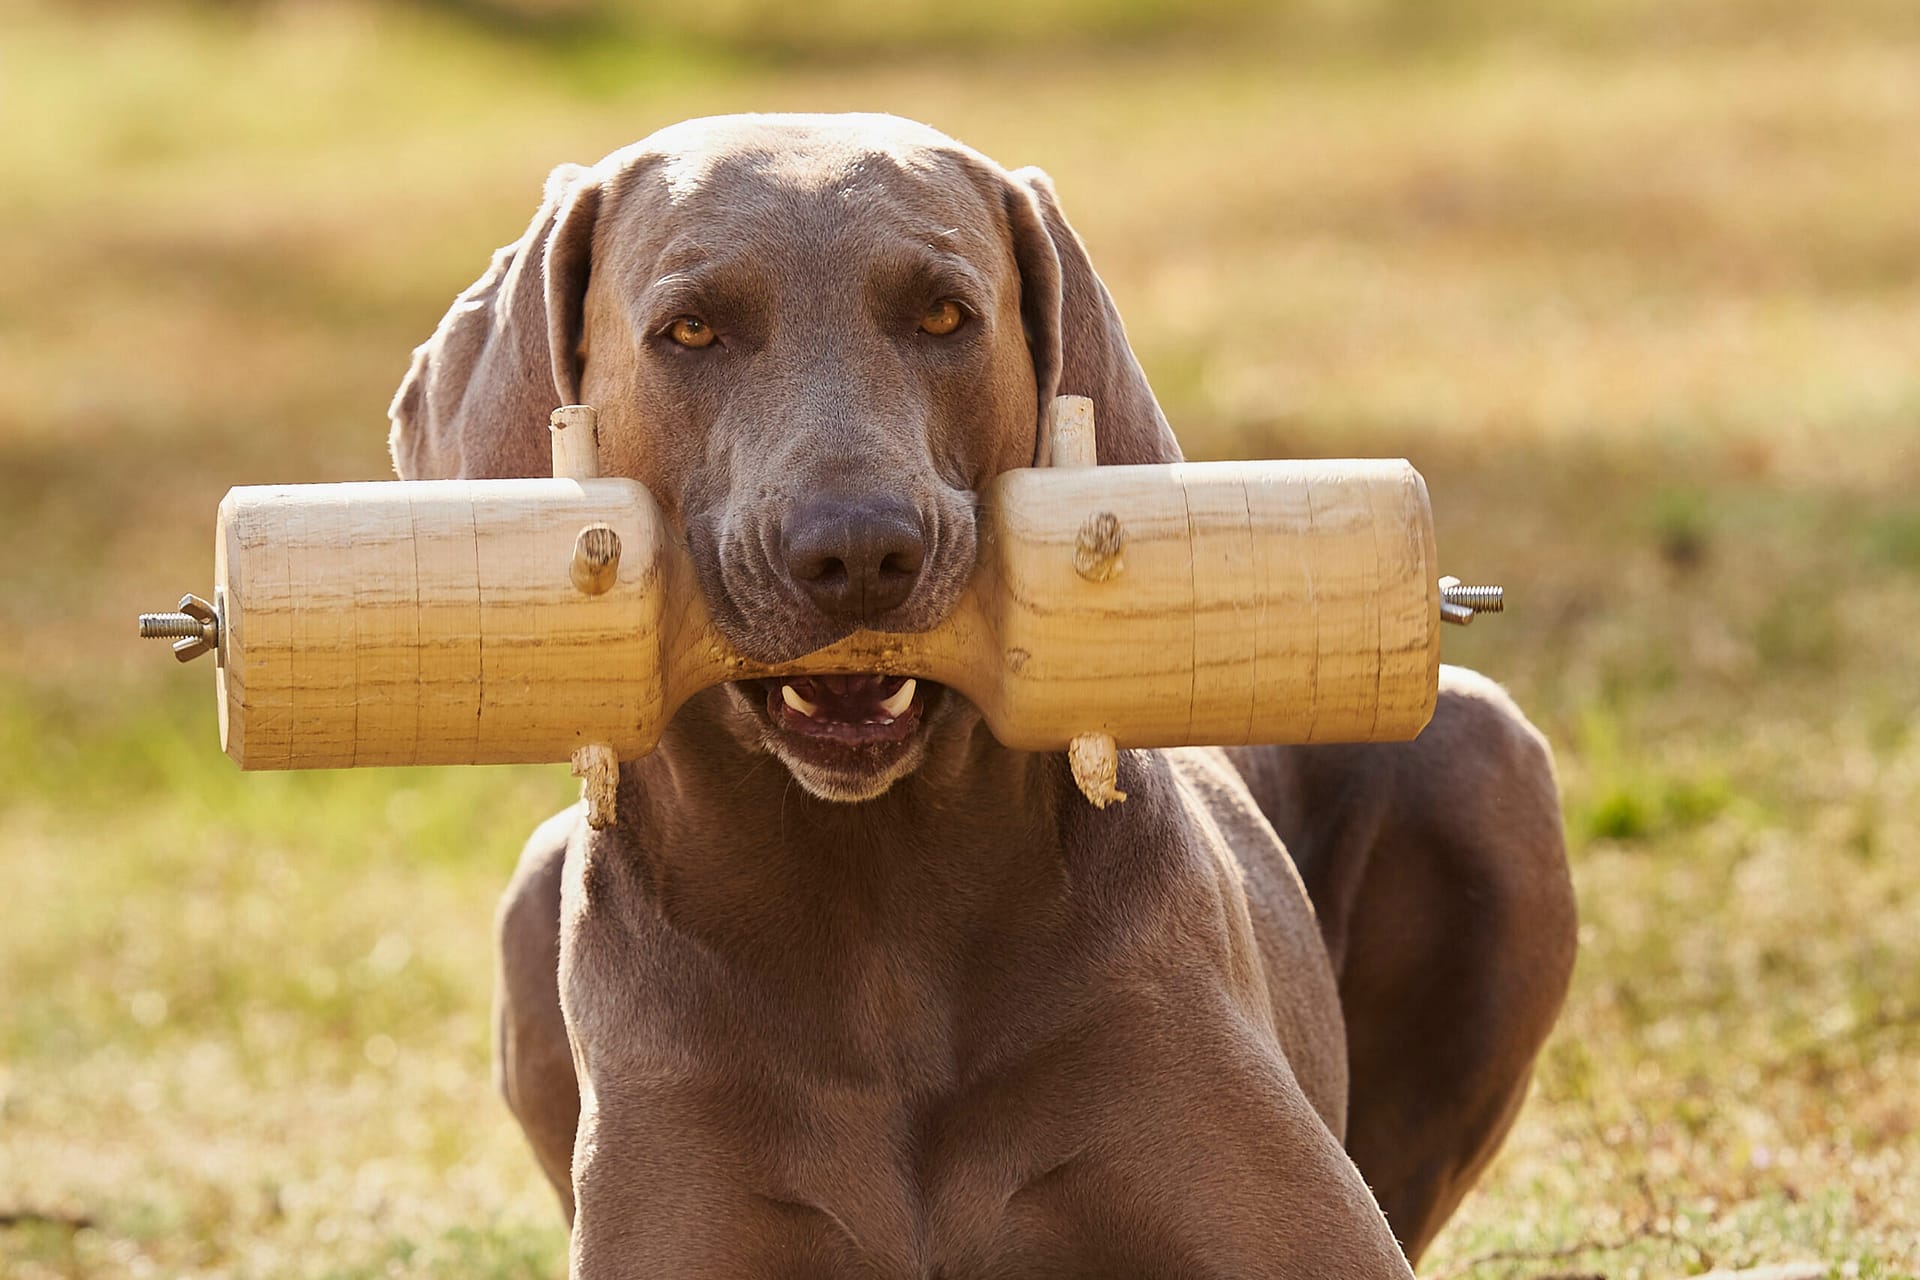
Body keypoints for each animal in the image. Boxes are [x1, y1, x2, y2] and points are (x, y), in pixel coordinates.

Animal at [389, 115, 1574, 1274]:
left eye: (944, 315)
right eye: (689, 331)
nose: (860, 551)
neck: (874, 908)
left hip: (1481, 743)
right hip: (534, 878)